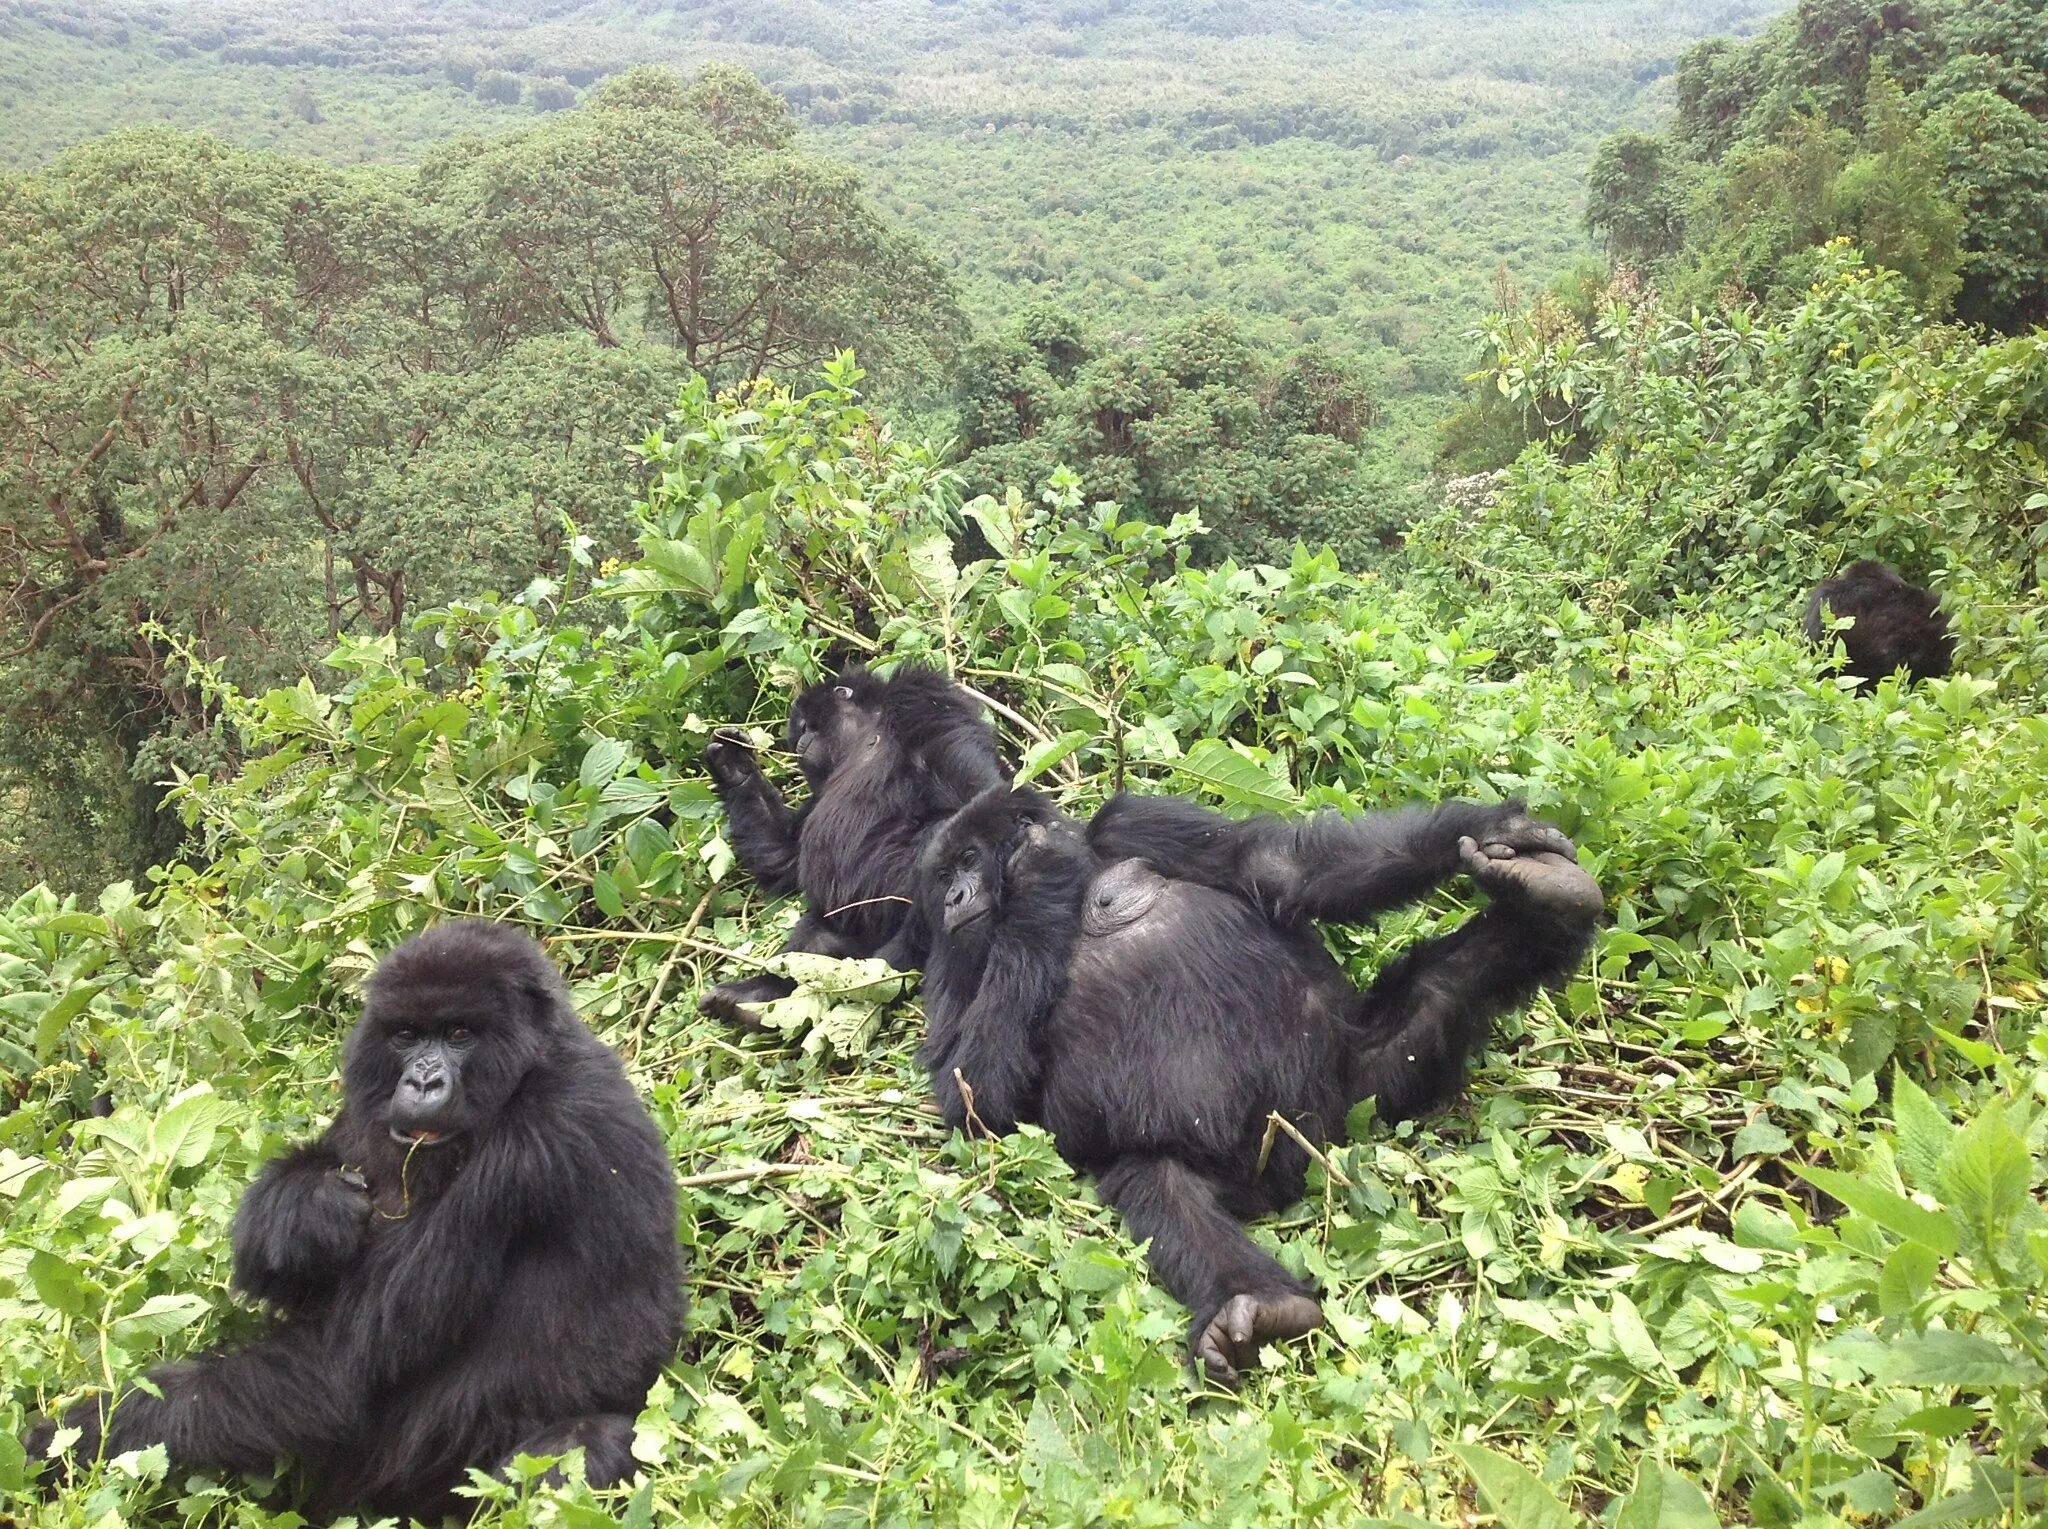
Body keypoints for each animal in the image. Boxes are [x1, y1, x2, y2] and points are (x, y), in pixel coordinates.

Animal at [24, 921, 679, 1522]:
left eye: (461, 1034)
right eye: (407, 1035)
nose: (422, 1081)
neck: (530, 1066)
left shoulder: (545, 1133)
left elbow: (346, 1367)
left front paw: (93, 1428)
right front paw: (307, 1208)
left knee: (584, 1449)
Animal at [704, 659, 1007, 1027]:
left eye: (805, 726)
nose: (800, 743)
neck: (866, 731)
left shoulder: (922, 697)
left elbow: (969, 799)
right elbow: (787, 854)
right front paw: (735, 769)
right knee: (818, 942)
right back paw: (760, 995)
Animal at [921, 790, 1605, 1383]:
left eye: (968, 859)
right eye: (944, 872)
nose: (951, 897)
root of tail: (1288, 1180)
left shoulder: (1137, 822)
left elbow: (1277, 868)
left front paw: (1496, 828)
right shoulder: (957, 953)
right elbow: (975, 1104)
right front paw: (1037, 884)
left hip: (1353, 1096)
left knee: (1445, 986)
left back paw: (1550, 900)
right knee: (1162, 1189)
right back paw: (1255, 1304)